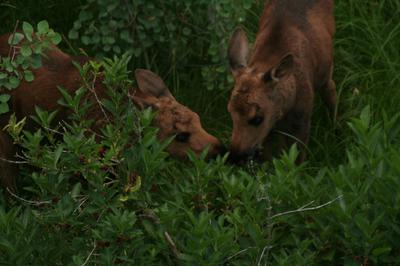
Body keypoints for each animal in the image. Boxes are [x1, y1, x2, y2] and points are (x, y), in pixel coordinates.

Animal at [227, 0, 336, 163]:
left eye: (257, 119)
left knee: (331, 90)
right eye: (230, 111)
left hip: (326, 70)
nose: (235, 156)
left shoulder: (302, 121)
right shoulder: (271, 131)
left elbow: (298, 159)